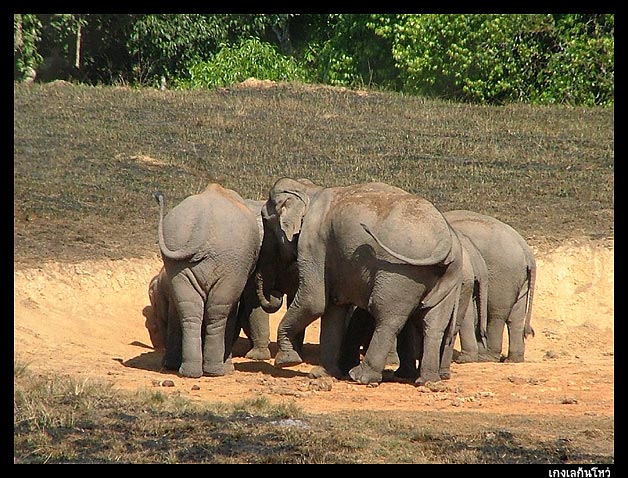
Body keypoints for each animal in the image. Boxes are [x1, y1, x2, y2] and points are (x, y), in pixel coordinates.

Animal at [156, 183, 268, 378]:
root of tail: (203, 222)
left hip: (180, 261)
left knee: (190, 308)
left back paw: (189, 372)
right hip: (229, 262)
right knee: (219, 310)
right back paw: (217, 371)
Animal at [253, 178, 464, 384]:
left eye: (266, 220)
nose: (276, 292)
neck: (309, 189)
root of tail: (445, 239)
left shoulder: (313, 242)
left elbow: (313, 302)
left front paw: (286, 361)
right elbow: (334, 308)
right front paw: (322, 374)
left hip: (401, 273)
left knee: (387, 318)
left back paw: (361, 377)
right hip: (448, 277)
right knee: (434, 324)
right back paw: (428, 381)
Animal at [442, 209, 536, 362]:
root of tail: (525, 248)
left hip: (504, 276)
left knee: (497, 314)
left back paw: (485, 357)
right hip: (519, 278)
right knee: (515, 316)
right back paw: (512, 359)